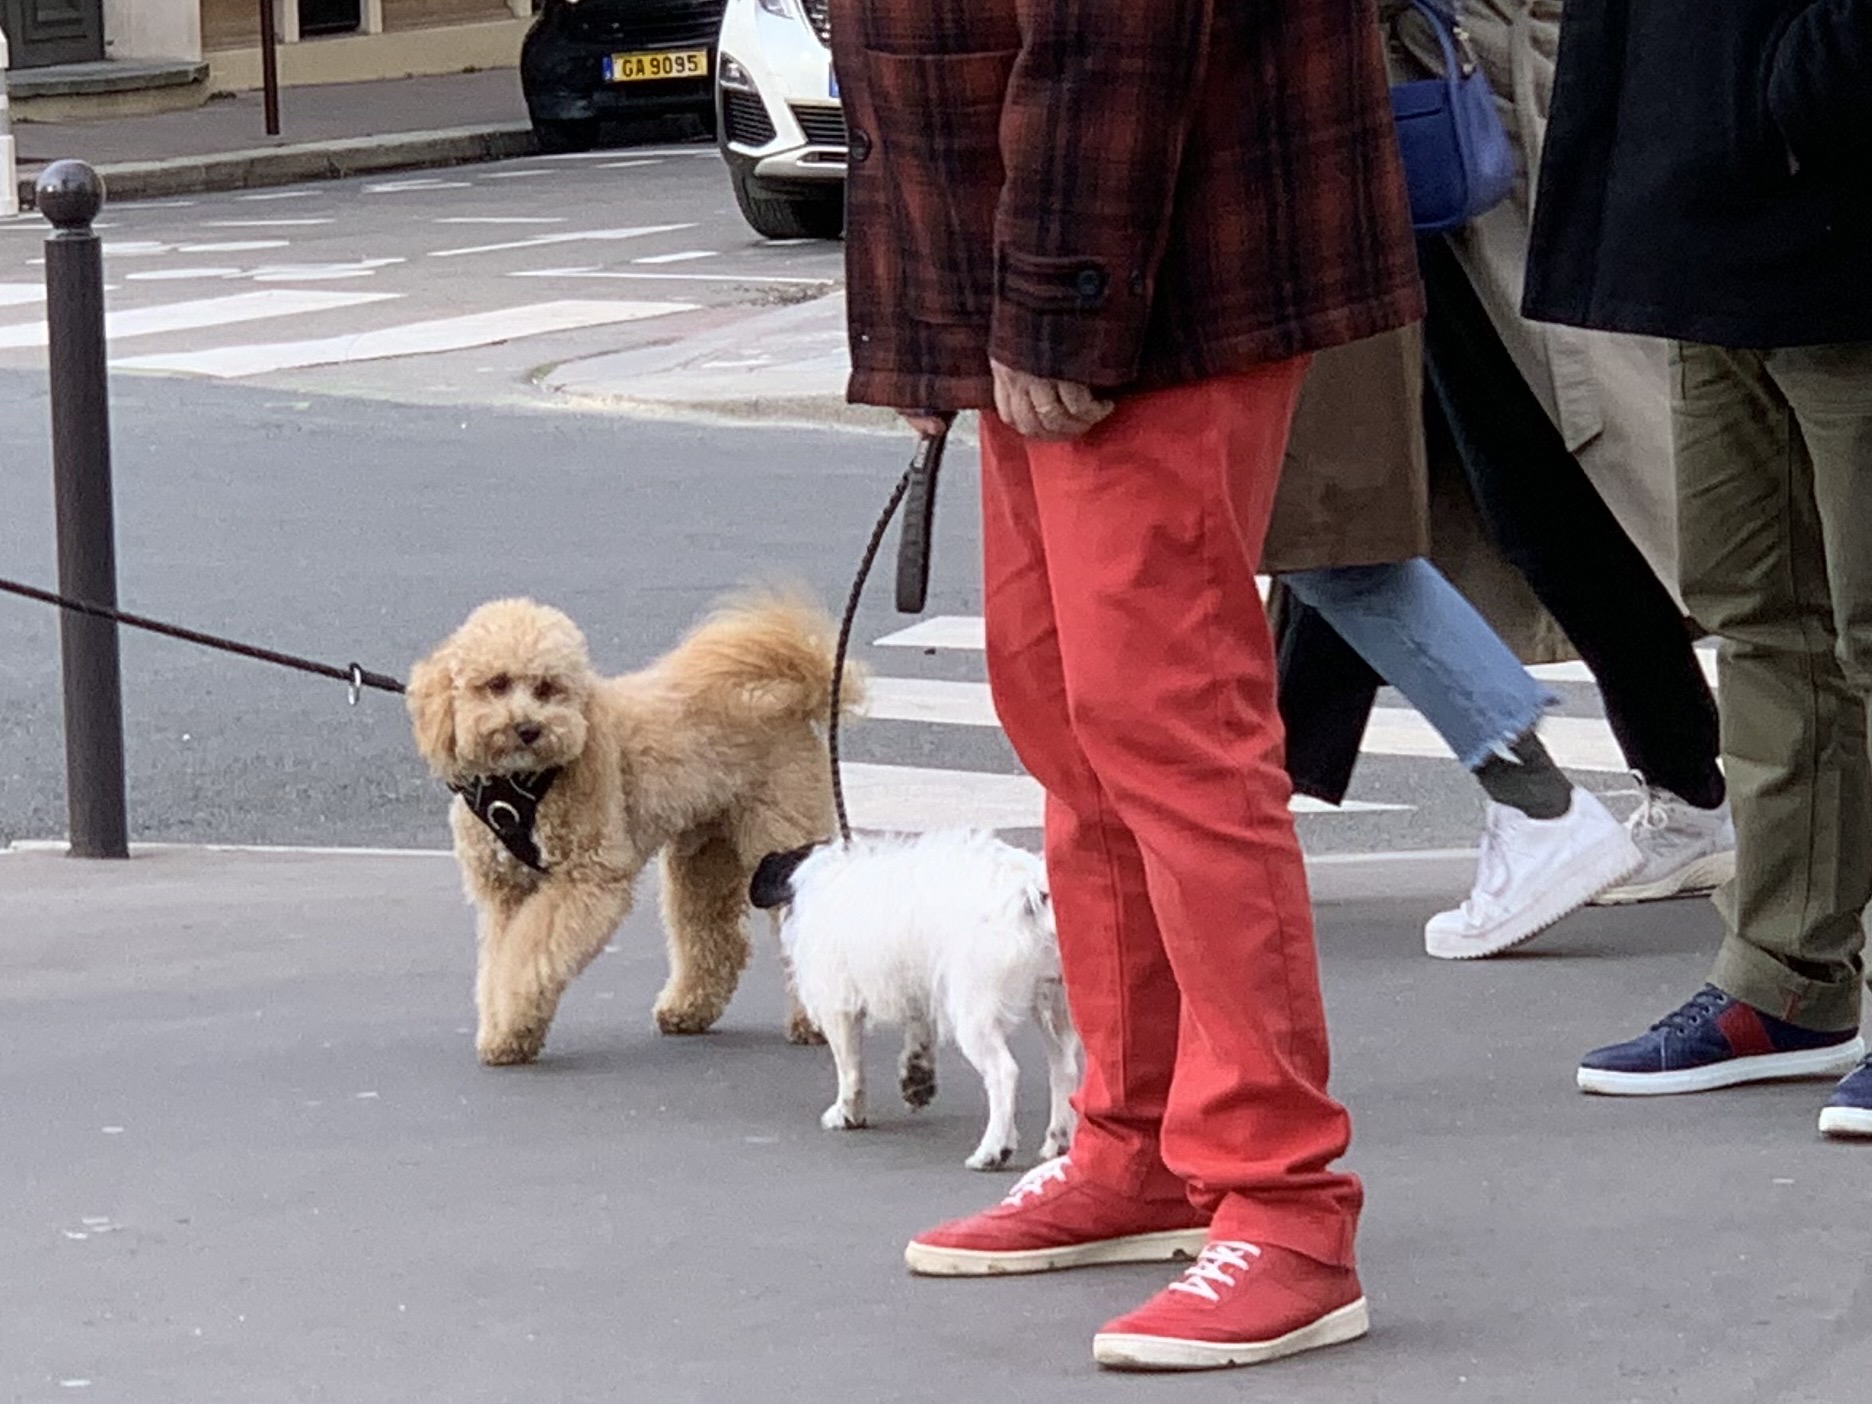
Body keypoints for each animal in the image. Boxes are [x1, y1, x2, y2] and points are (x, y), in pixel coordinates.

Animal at [748, 831, 1085, 1168]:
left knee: (1004, 1073)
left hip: (975, 1014)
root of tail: (1032, 891)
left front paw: (847, 1113)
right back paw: (1058, 1141)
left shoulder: (838, 1004)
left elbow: (849, 1067)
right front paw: (916, 1076)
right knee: (1064, 1070)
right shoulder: (917, 984)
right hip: (1054, 1007)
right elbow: (919, 1030)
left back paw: (992, 1151)